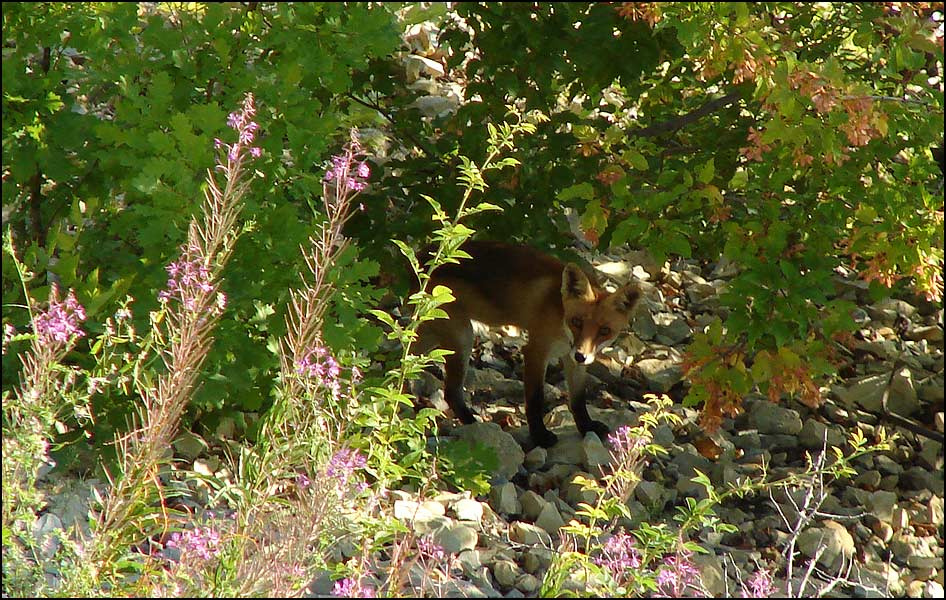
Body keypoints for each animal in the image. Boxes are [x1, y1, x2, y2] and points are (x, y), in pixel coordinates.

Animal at [415, 241, 642, 448]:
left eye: (604, 331)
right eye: (577, 322)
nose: (581, 355)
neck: (560, 318)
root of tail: (421, 256)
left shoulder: (571, 358)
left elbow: (578, 399)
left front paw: (586, 427)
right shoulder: (536, 351)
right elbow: (535, 399)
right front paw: (540, 436)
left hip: (435, 337)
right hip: (463, 337)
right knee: (451, 392)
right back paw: (475, 425)